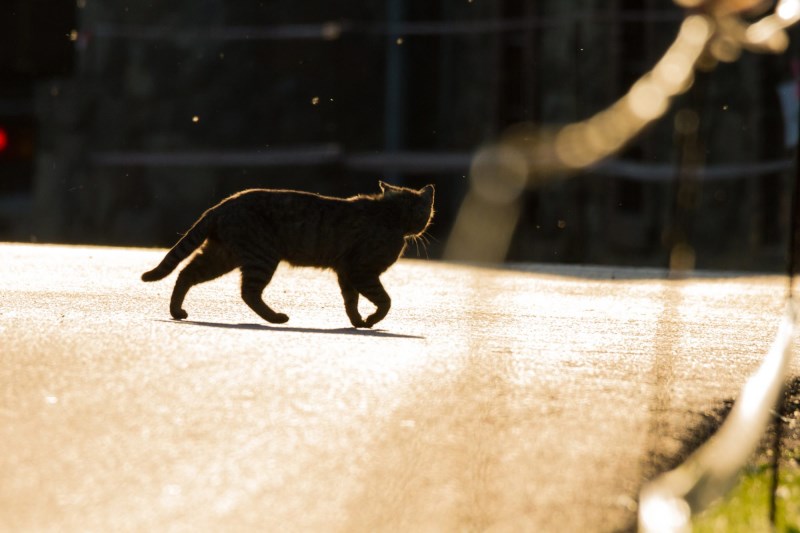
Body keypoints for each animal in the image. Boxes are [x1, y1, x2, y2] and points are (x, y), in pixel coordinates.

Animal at [141, 181, 434, 326]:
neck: (392, 214)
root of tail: (222, 205)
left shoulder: (346, 273)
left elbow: (351, 301)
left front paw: (358, 321)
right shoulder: (362, 271)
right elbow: (384, 301)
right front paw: (372, 320)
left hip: (222, 255)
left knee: (186, 273)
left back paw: (177, 311)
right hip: (261, 257)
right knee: (248, 292)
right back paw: (276, 318)